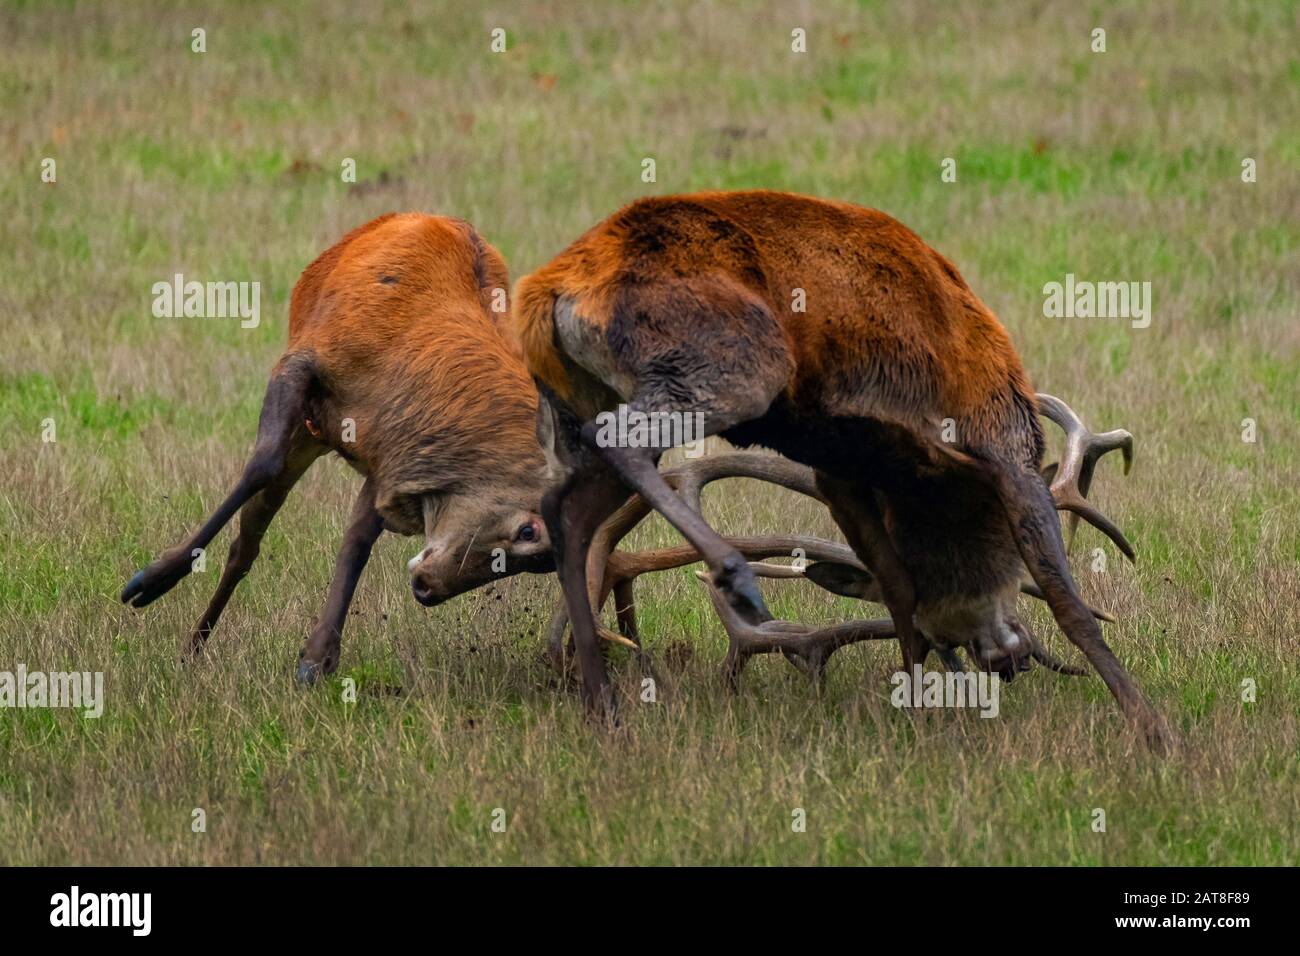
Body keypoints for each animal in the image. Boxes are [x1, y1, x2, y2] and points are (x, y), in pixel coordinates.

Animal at [517, 191, 1180, 749]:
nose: (1008, 658)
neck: (929, 486)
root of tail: (545, 294)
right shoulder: (1001, 438)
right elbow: (1069, 603)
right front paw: (1156, 730)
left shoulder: (841, 474)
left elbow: (898, 591)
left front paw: (918, 710)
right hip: (726, 363)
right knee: (617, 445)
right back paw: (731, 572)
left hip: (580, 400)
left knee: (566, 509)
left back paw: (602, 704)